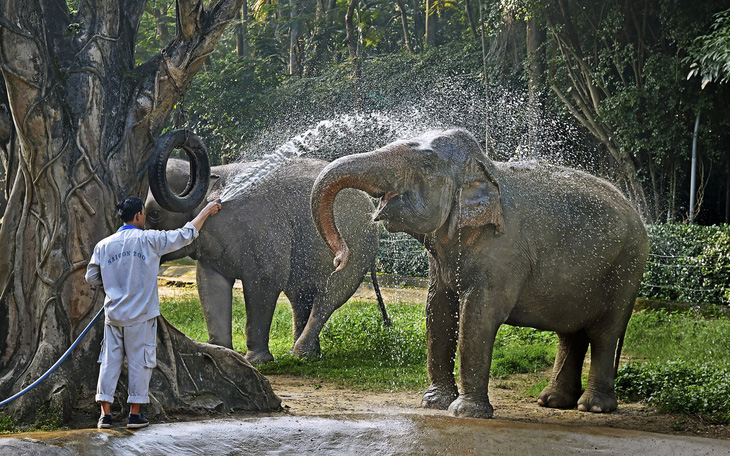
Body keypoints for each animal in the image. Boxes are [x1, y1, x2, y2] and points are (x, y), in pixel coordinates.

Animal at [142, 157, 382, 364]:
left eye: (154, 213)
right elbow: (209, 285)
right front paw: (221, 352)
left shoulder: (263, 233)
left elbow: (265, 280)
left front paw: (256, 361)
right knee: (300, 296)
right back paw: (307, 355)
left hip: (355, 248)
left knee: (328, 298)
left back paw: (299, 354)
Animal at [310, 127, 644, 416]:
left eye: (427, 164)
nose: (339, 259)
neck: (486, 170)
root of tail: (636, 211)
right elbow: (438, 309)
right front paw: (433, 404)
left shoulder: (504, 251)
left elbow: (479, 314)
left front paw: (465, 412)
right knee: (570, 333)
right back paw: (552, 401)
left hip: (627, 267)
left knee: (604, 332)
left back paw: (593, 407)